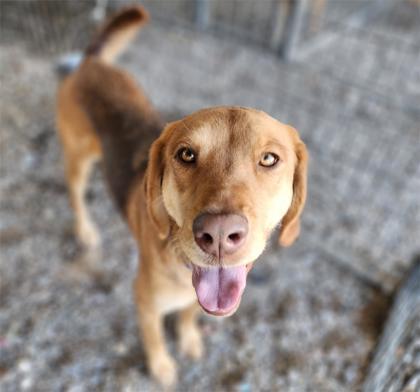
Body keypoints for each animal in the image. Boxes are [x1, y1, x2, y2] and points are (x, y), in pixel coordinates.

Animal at [55, 5, 308, 386]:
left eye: (269, 159)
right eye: (186, 155)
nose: (219, 234)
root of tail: (90, 61)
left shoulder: (198, 296)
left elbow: (189, 315)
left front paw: (188, 339)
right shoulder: (145, 301)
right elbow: (154, 338)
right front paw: (161, 367)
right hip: (77, 158)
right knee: (74, 194)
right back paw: (85, 230)